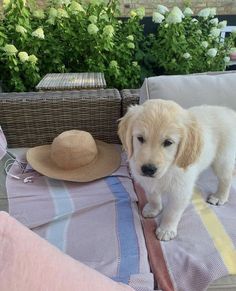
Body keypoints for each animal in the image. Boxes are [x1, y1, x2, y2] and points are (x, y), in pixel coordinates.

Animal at [119, 100, 236, 242]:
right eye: (140, 138)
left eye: (168, 142)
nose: (148, 169)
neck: (167, 170)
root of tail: (229, 112)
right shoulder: (148, 183)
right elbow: (153, 197)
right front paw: (153, 209)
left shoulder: (180, 191)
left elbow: (172, 212)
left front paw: (166, 229)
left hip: (222, 159)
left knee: (226, 178)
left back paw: (220, 197)